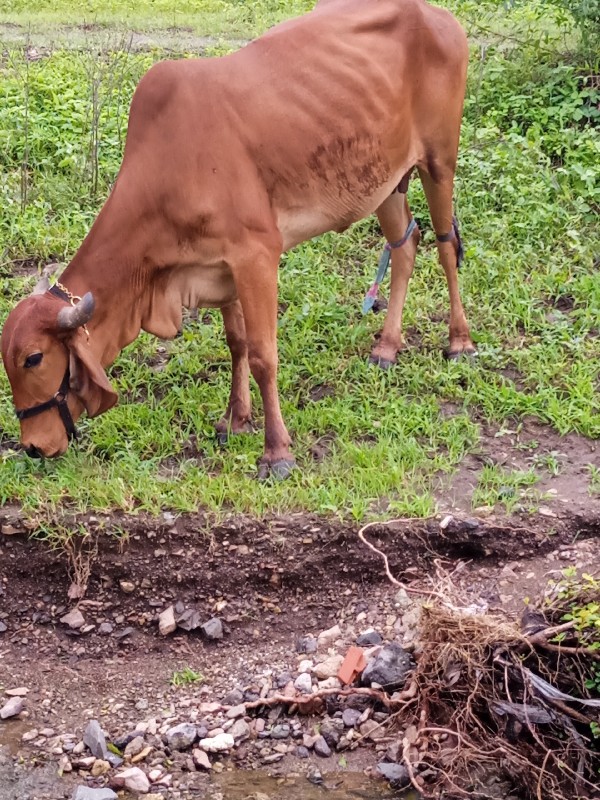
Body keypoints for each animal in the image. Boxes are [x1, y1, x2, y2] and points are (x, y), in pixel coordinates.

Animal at [2, 0, 476, 476]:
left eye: (34, 358)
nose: (33, 447)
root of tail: (436, 15)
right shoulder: (218, 265)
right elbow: (237, 343)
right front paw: (236, 419)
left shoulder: (257, 256)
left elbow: (265, 354)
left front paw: (277, 451)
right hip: (386, 180)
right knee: (406, 246)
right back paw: (388, 348)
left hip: (439, 159)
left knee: (445, 246)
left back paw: (460, 342)